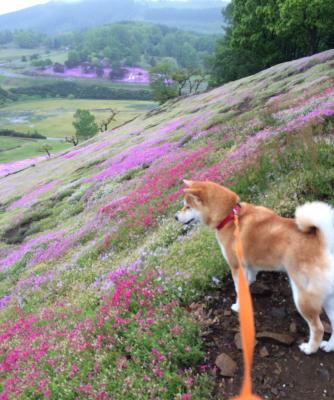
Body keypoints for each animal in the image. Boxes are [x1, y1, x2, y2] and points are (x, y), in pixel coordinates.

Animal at [175, 180, 334, 354]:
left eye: (187, 206)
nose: (175, 217)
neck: (230, 216)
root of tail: (322, 242)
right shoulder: (249, 267)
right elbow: (247, 283)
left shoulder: (235, 267)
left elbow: (237, 290)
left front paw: (238, 306)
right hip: (327, 297)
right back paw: (329, 346)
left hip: (302, 296)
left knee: (318, 328)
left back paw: (310, 348)